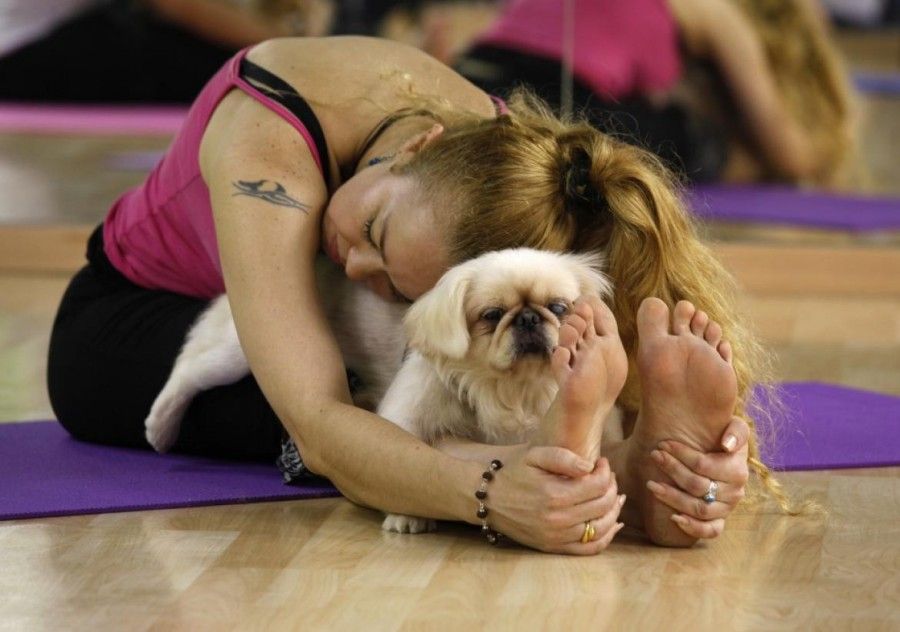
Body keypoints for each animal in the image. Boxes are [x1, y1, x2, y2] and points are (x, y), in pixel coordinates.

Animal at [144, 247, 616, 532]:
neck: (505, 387)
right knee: (188, 367)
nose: (530, 318)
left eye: (558, 308)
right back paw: (159, 428)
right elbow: (405, 468)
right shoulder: (406, 416)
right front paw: (407, 519)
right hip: (237, 353)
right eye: (492, 314)